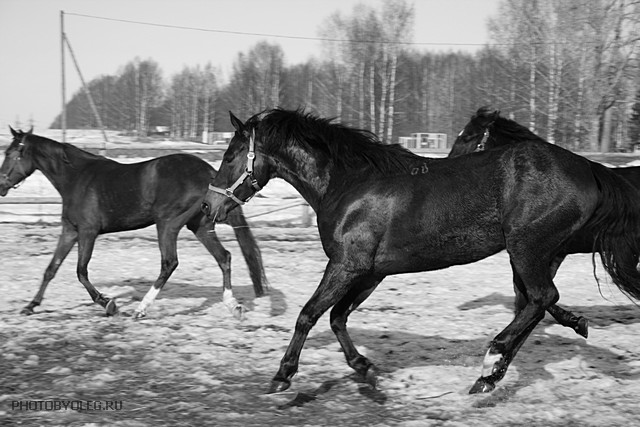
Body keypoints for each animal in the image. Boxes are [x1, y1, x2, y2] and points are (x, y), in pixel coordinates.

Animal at [0, 129, 268, 320]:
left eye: (10, 154)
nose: (1, 185)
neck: (76, 178)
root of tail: (210, 174)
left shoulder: (88, 232)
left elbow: (81, 271)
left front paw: (109, 304)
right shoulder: (69, 231)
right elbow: (51, 269)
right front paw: (30, 306)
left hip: (167, 224)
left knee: (169, 263)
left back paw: (141, 309)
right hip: (200, 226)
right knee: (224, 257)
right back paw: (234, 306)